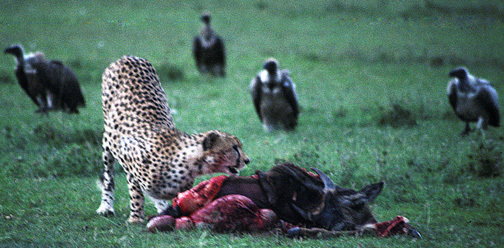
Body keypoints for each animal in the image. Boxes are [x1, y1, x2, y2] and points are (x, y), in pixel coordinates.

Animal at [95, 56, 249, 223]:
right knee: (108, 176)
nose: (247, 160)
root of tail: (128, 57)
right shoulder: (127, 154)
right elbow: (136, 192)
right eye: (234, 148)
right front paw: (136, 218)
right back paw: (106, 206)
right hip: (107, 141)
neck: (189, 164)